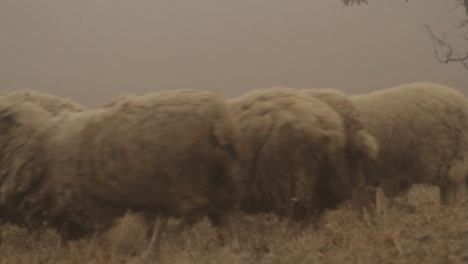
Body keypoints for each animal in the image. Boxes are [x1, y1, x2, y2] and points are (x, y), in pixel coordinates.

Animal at [0, 89, 241, 256]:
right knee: (221, 218)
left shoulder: (89, 202)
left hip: (189, 181)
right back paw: (229, 249)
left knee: (193, 213)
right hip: (214, 182)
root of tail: (219, 118)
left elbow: (91, 231)